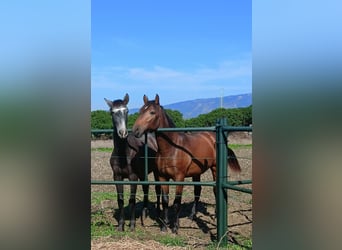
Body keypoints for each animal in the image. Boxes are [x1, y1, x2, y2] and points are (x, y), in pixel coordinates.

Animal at [103, 94, 161, 232]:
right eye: (112, 112)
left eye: (126, 111)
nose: (123, 133)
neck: (123, 155)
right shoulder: (117, 177)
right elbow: (120, 199)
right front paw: (120, 225)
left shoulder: (133, 177)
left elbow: (132, 199)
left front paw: (132, 225)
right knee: (146, 187)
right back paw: (144, 213)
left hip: (156, 172)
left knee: (157, 188)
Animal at [132, 94, 242, 233]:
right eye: (140, 111)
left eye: (152, 112)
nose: (135, 130)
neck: (171, 148)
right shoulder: (163, 177)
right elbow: (165, 200)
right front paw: (164, 226)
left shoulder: (179, 178)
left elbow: (177, 202)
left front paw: (175, 227)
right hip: (197, 173)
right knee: (197, 191)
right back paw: (192, 215)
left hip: (215, 168)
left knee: (215, 190)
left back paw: (216, 215)